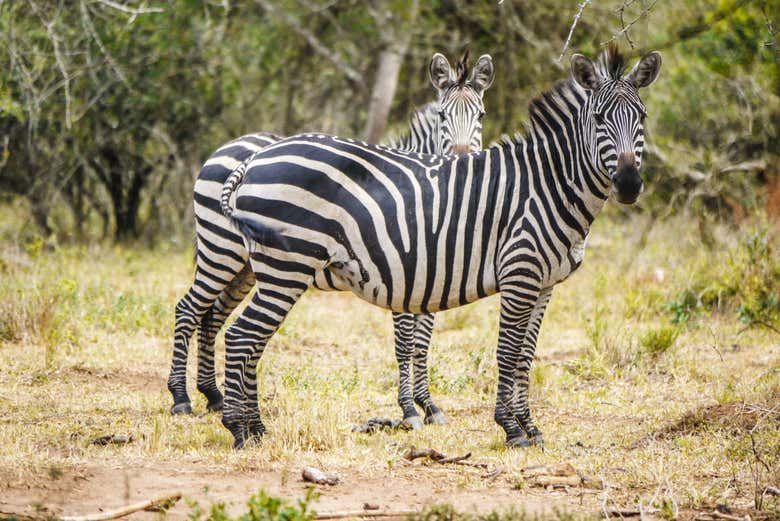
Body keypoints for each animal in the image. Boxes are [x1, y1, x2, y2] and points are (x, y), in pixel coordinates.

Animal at [166, 50, 494, 428]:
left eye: (481, 116)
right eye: (442, 116)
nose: (463, 160)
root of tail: (229, 145)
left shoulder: (433, 276)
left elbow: (422, 342)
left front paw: (429, 405)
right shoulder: (403, 271)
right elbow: (405, 342)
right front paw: (409, 409)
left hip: (247, 266)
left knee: (212, 315)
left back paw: (214, 395)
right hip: (220, 249)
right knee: (189, 309)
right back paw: (181, 398)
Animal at [221, 46, 664, 448]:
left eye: (642, 117)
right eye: (599, 119)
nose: (629, 185)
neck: (549, 184)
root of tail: (256, 156)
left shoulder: (544, 284)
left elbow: (526, 356)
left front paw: (531, 427)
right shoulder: (519, 274)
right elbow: (506, 351)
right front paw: (511, 428)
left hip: (265, 270)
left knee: (244, 337)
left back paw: (254, 429)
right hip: (284, 266)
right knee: (241, 336)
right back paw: (240, 430)